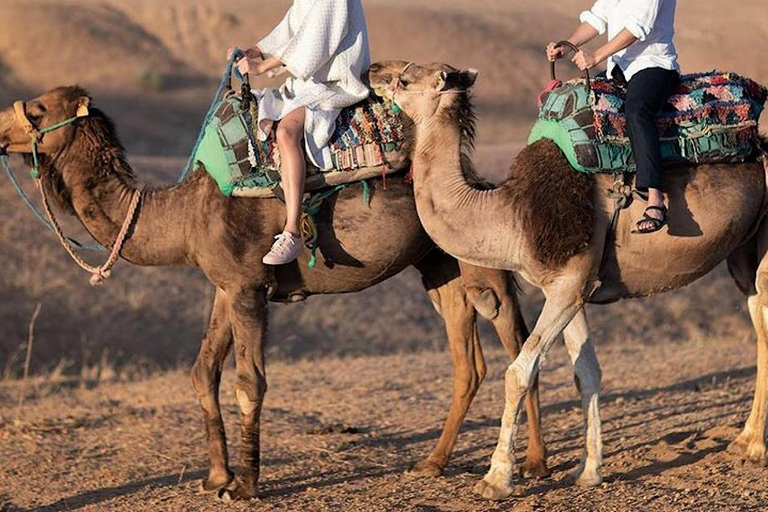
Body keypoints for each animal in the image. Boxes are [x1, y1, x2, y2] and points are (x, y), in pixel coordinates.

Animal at [0, 85, 552, 500]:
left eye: (37, 109)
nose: (1, 131)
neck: (182, 214)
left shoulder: (249, 288)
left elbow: (250, 383)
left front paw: (244, 485)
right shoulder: (227, 285)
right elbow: (203, 371)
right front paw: (216, 477)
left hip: (482, 264)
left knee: (516, 341)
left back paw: (534, 464)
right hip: (439, 265)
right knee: (468, 360)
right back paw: (433, 462)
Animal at [368, 60, 768, 500]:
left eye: (405, 79)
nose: (373, 71)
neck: (510, 215)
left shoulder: (568, 283)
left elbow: (519, 372)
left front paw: (496, 478)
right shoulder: (569, 287)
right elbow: (585, 374)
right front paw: (587, 471)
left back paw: (755, 448)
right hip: (743, 251)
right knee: (758, 317)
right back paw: (744, 442)